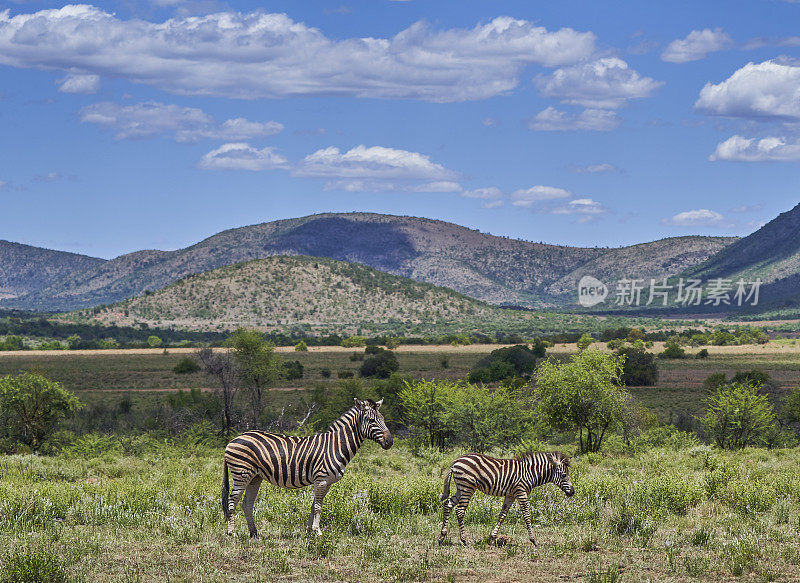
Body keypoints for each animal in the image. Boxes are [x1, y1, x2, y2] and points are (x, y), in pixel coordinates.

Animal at [223, 396, 392, 540]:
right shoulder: (321, 479)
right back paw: (232, 533)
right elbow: (318, 507)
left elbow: (314, 505)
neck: (336, 446)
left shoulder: (327, 482)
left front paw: (309, 531)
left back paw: (254, 533)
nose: (390, 442)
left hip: (255, 477)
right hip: (241, 474)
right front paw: (317, 531)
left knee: (247, 504)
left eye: (383, 419)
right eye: (371, 420)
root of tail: (233, 440)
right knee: (232, 500)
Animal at [438, 452, 576, 548]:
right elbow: (526, 515)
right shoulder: (521, 492)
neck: (530, 474)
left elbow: (502, 516)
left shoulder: (510, 495)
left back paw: (442, 537)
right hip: (468, 487)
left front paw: (492, 539)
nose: (572, 492)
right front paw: (534, 540)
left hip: (461, 488)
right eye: (564, 475)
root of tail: (455, 462)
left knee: (447, 504)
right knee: (460, 511)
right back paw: (465, 540)